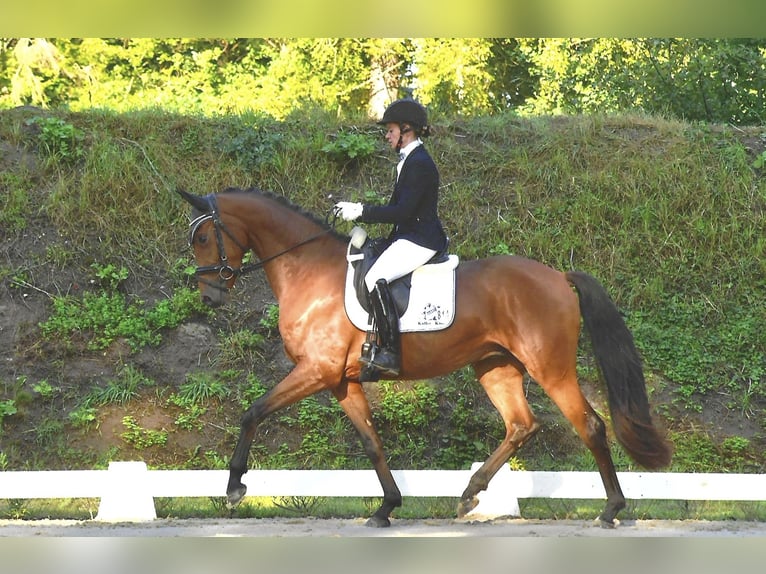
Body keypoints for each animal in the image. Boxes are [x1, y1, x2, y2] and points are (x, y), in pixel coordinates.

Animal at [178, 187, 672, 528]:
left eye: (202, 236)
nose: (209, 295)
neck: (309, 270)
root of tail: (556, 275)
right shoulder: (341, 380)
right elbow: (372, 442)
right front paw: (386, 508)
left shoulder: (316, 370)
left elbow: (253, 412)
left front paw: (235, 486)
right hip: (495, 367)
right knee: (520, 425)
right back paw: (470, 493)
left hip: (550, 368)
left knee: (589, 425)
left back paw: (610, 509)